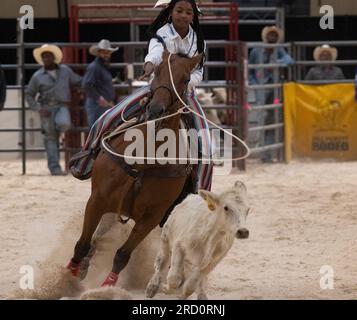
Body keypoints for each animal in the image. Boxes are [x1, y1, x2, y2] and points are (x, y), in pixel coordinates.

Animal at [65, 50, 202, 288]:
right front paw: (69, 274)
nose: (156, 110)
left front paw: (107, 287)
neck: (144, 159)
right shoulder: (97, 199)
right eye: (156, 70)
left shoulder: (152, 217)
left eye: (186, 79)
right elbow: (82, 243)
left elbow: (122, 255)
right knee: (95, 237)